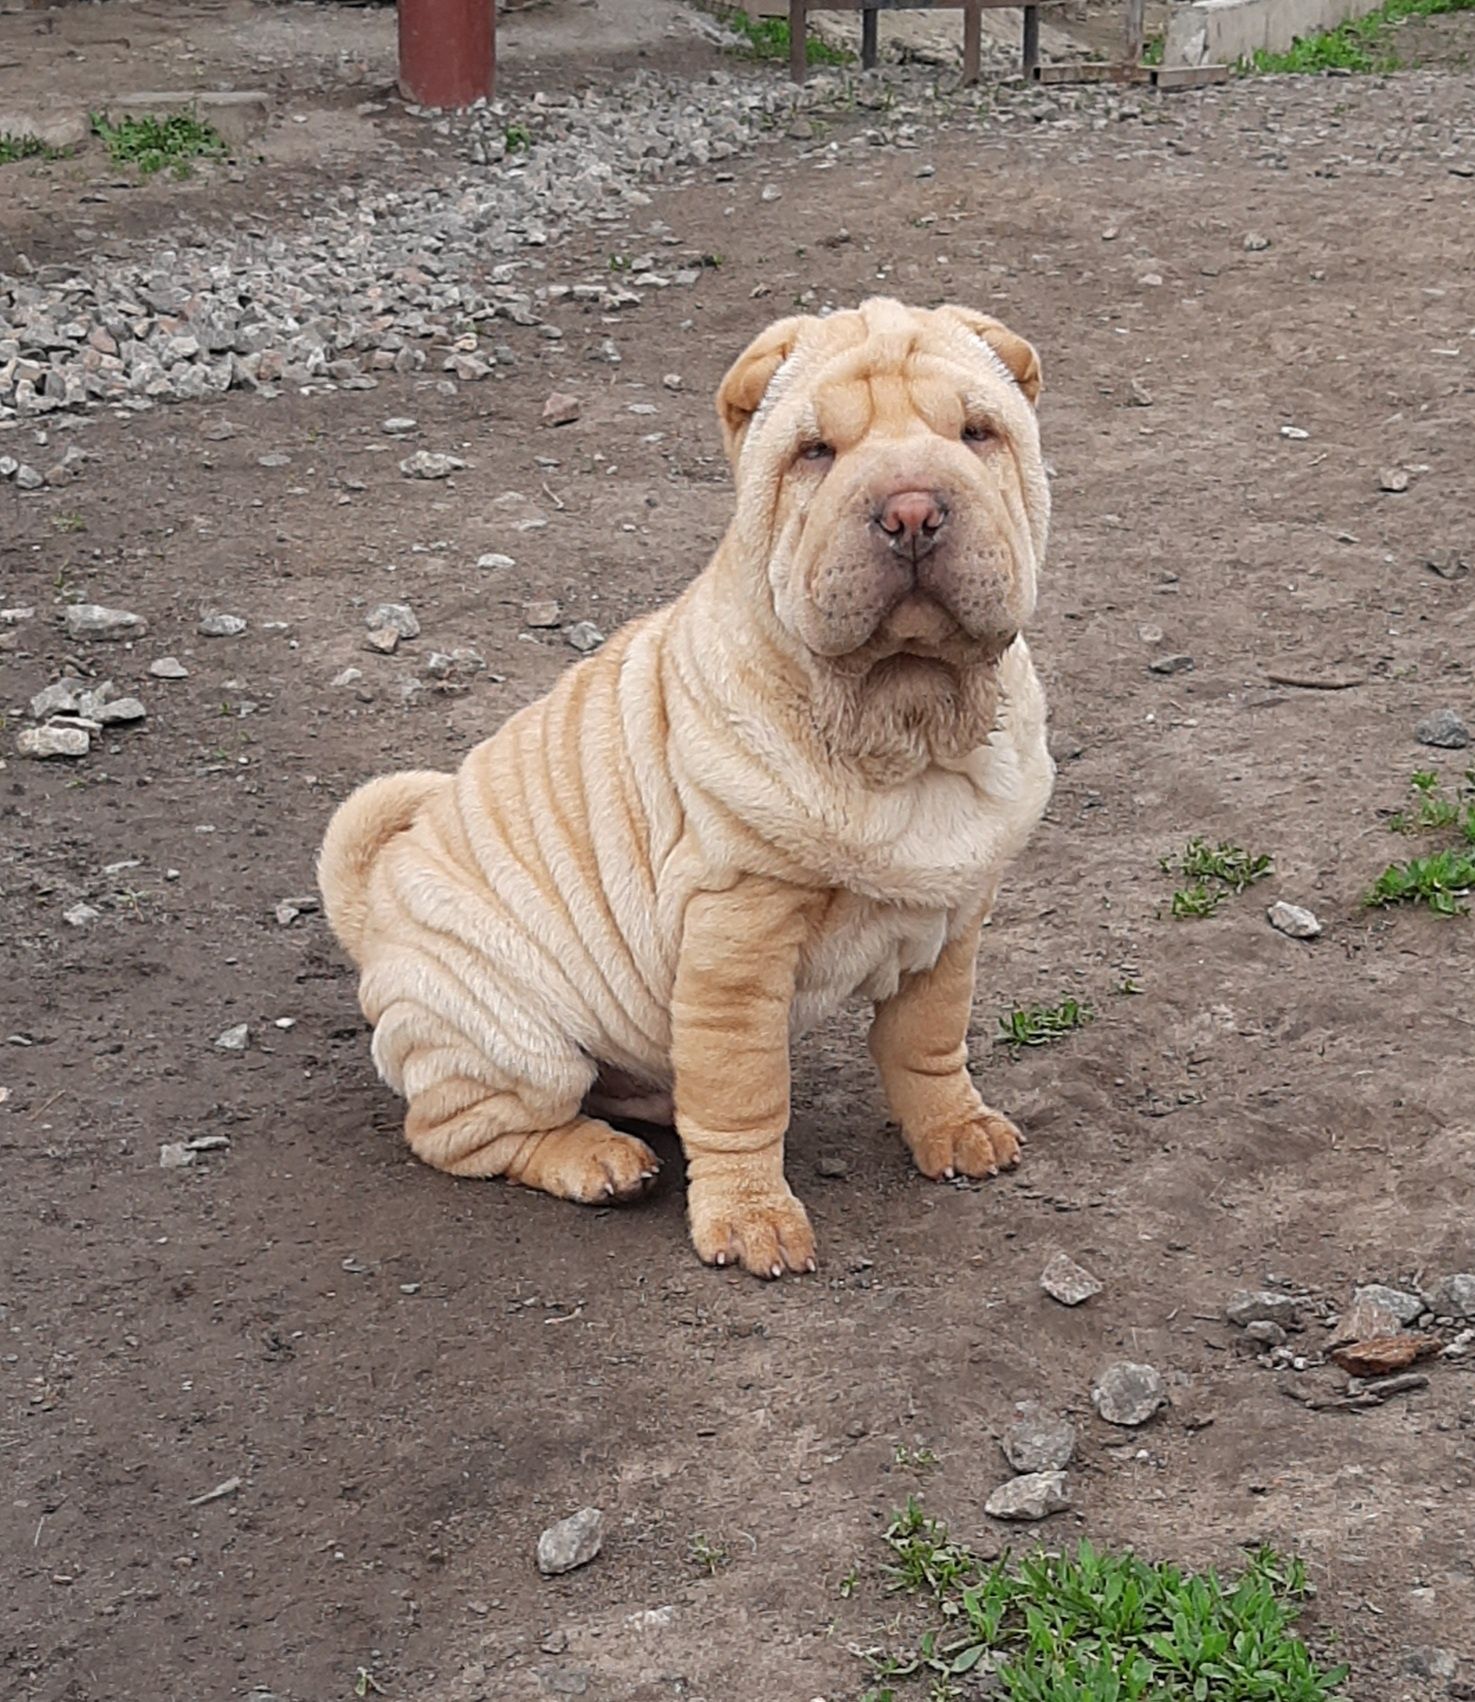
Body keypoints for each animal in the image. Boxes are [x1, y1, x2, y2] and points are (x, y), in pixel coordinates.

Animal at [323, 296, 1054, 1279]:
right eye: (814, 452)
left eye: (978, 433)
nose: (910, 511)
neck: (905, 726)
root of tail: (374, 914)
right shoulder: (735, 933)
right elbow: (744, 1090)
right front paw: (751, 1220)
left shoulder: (955, 913)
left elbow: (928, 1038)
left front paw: (956, 1129)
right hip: (507, 1032)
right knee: (463, 1131)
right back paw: (598, 1160)